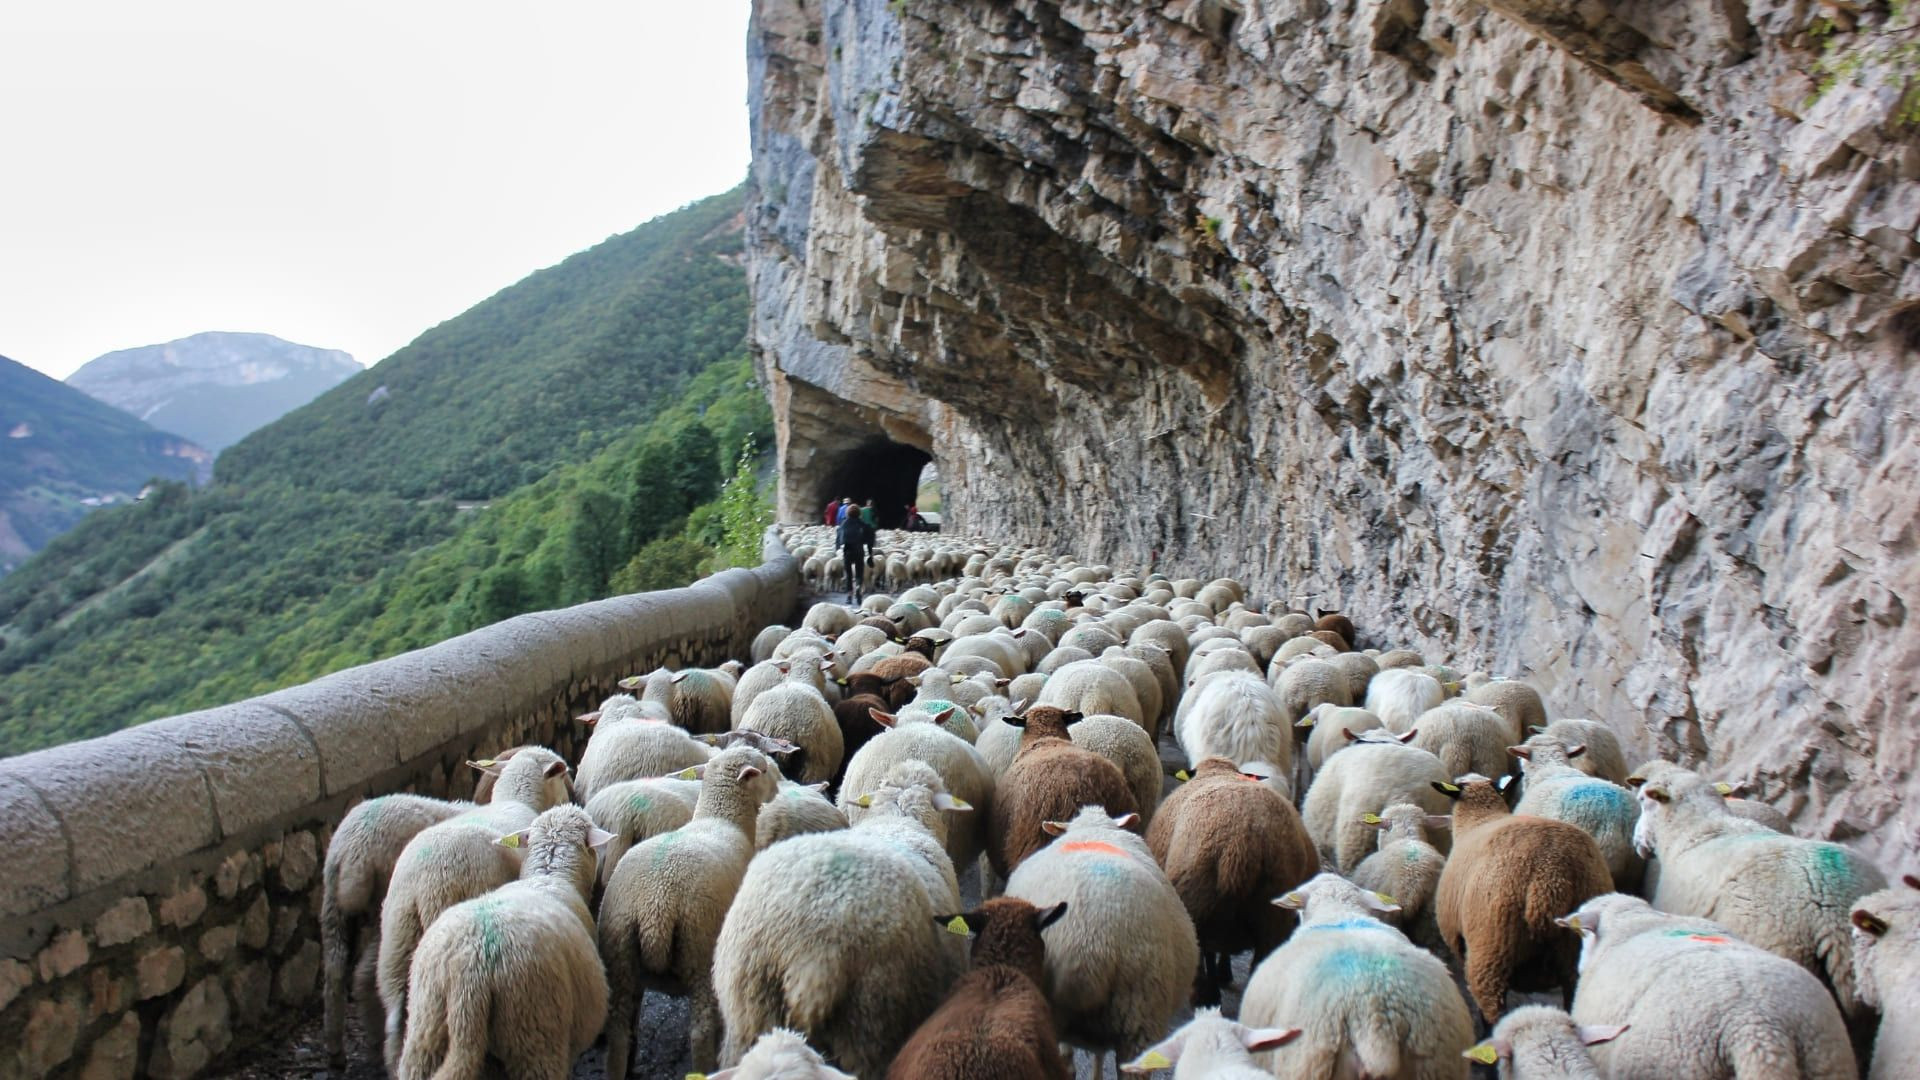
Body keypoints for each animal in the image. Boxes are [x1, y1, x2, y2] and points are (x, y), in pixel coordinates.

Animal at [599, 746, 779, 1075]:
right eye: (763, 770)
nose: (779, 788)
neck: (720, 819)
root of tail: (655, 908)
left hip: (620, 952)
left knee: (619, 1029)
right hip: (700, 949)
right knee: (701, 1030)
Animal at [1145, 757, 1318, 1004]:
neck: (1218, 770)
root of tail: (1241, 846)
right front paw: (1224, 973)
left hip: (1197, 905)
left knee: (1201, 965)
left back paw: (1205, 996)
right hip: (1273, 920)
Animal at [1559, 893, 1857, 1079]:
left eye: (1584, 935)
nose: (1579, 968)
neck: (1634, 921)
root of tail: (1757, 1026)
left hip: (1677, 1065)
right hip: (1828, 1059)